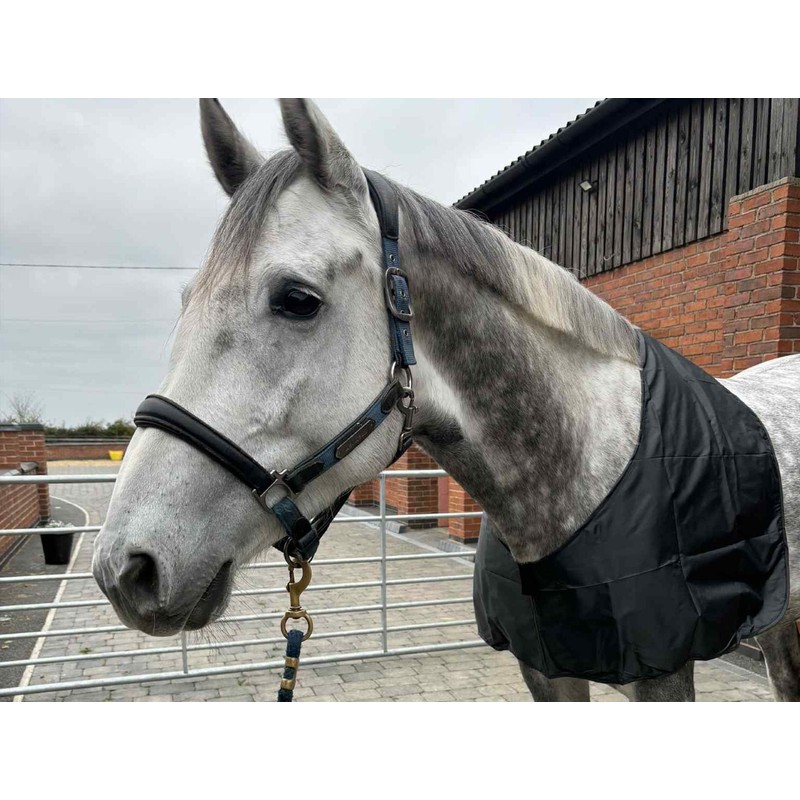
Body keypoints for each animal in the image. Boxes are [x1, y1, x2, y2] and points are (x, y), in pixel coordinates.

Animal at [91, 98, 800, 701]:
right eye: (188, 303)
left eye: (297, 299)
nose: (127, 569)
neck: (584, 470)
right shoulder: (546, 670)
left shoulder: (663, 676)